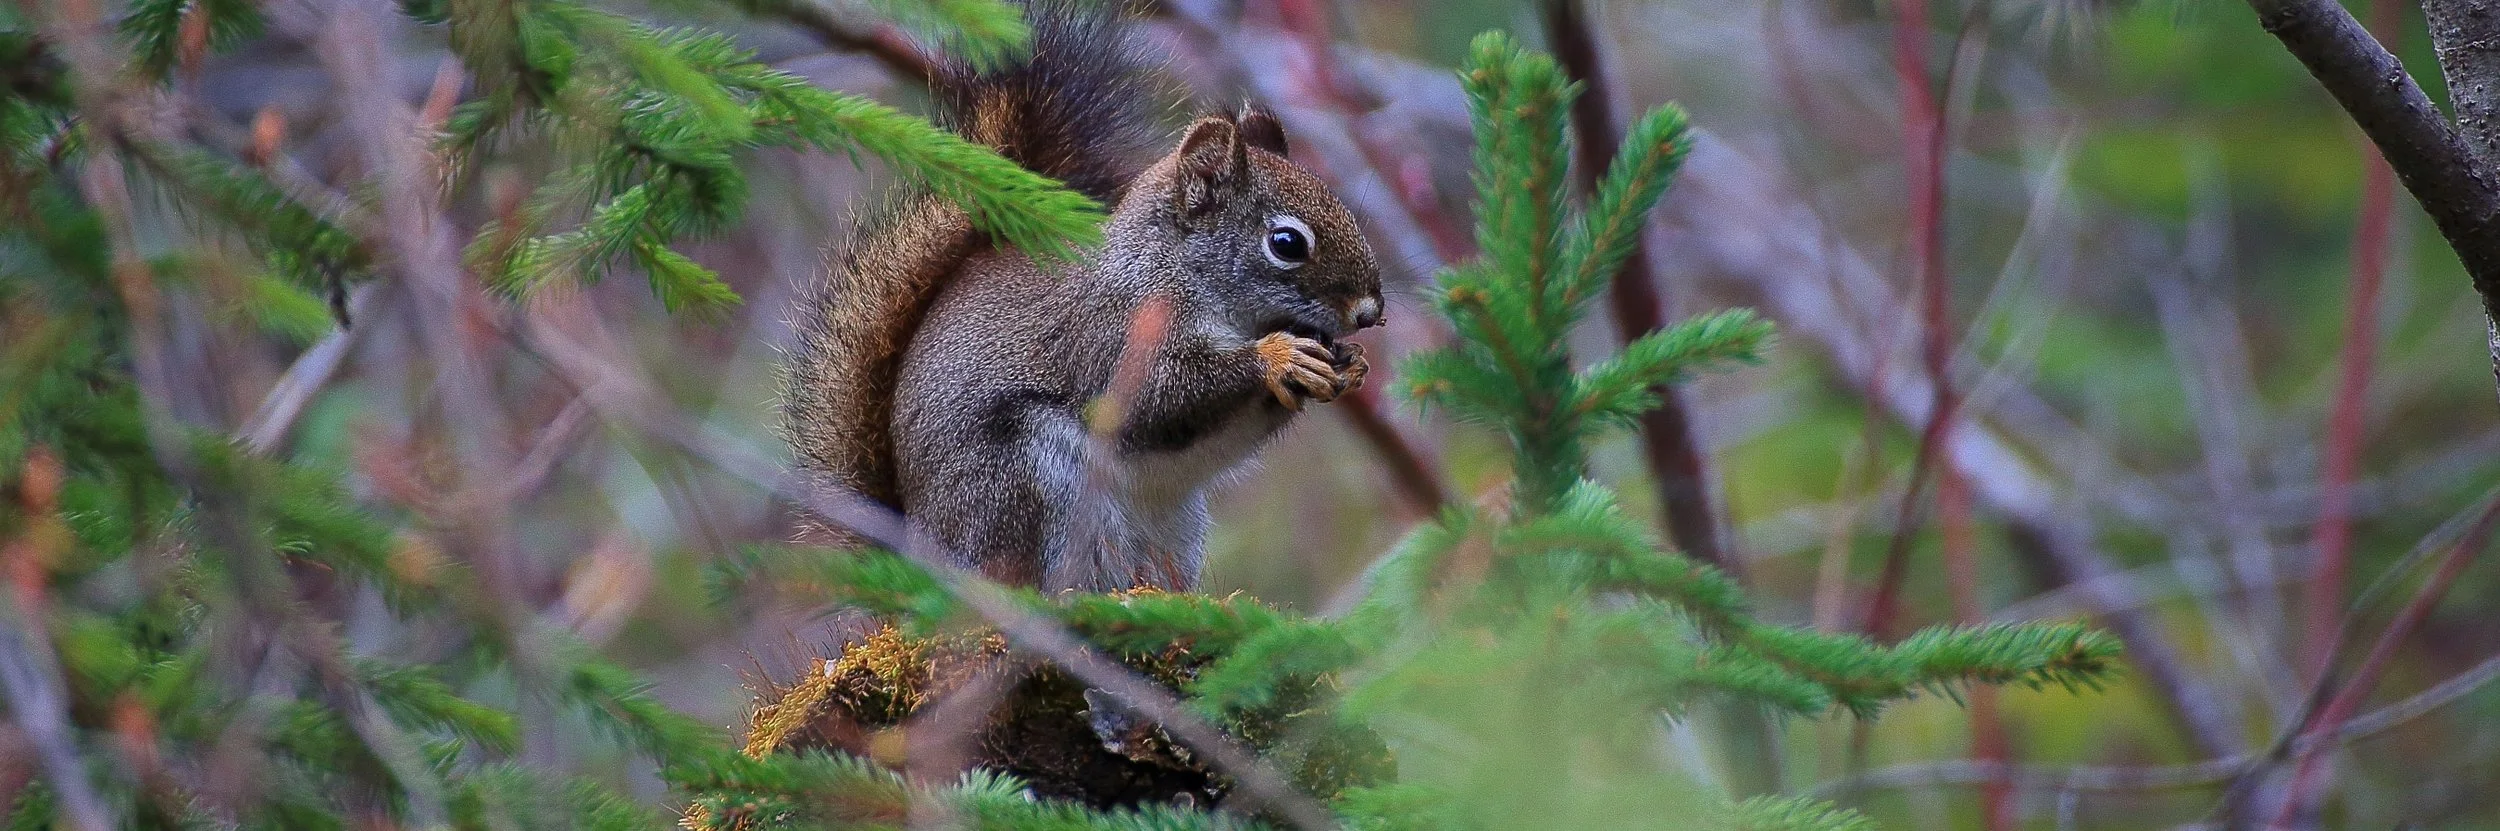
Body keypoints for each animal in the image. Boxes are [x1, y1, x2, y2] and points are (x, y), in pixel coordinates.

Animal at [784, 2, 1384, 593]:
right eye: (1286, 243)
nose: (1371, 313)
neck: (1176, 273)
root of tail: (919, 549)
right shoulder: (1113, 332)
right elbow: (1159, 400)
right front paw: (1278, 356)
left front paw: (1349, 364)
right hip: (1023, 480)